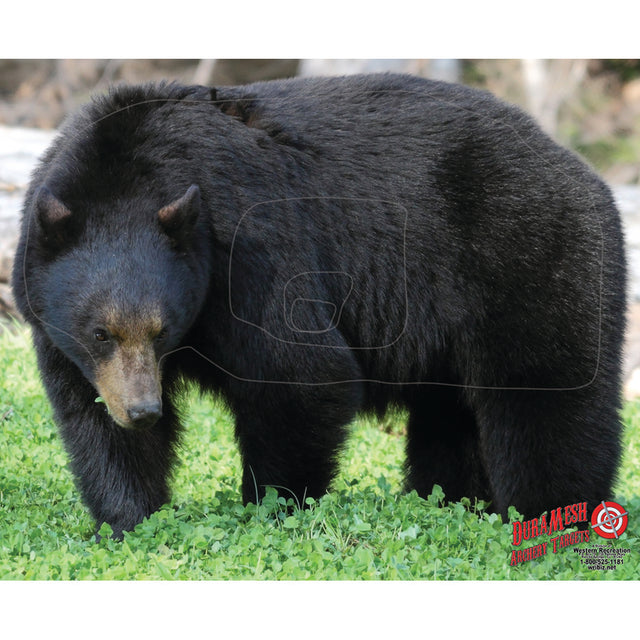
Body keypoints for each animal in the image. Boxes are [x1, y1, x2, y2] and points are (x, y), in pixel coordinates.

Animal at [12, 73, 626, 540]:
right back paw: (448, 500)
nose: (144, 410)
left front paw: (270, 505)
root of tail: (582, 171)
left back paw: (551, 513)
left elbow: (300, 374)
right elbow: (91, 416)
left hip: (526, 256)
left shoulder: (252, 246)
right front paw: (126, 520)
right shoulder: (64, 332)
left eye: (162, 329)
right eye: (100, 332)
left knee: (545, 396)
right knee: (451, 415)